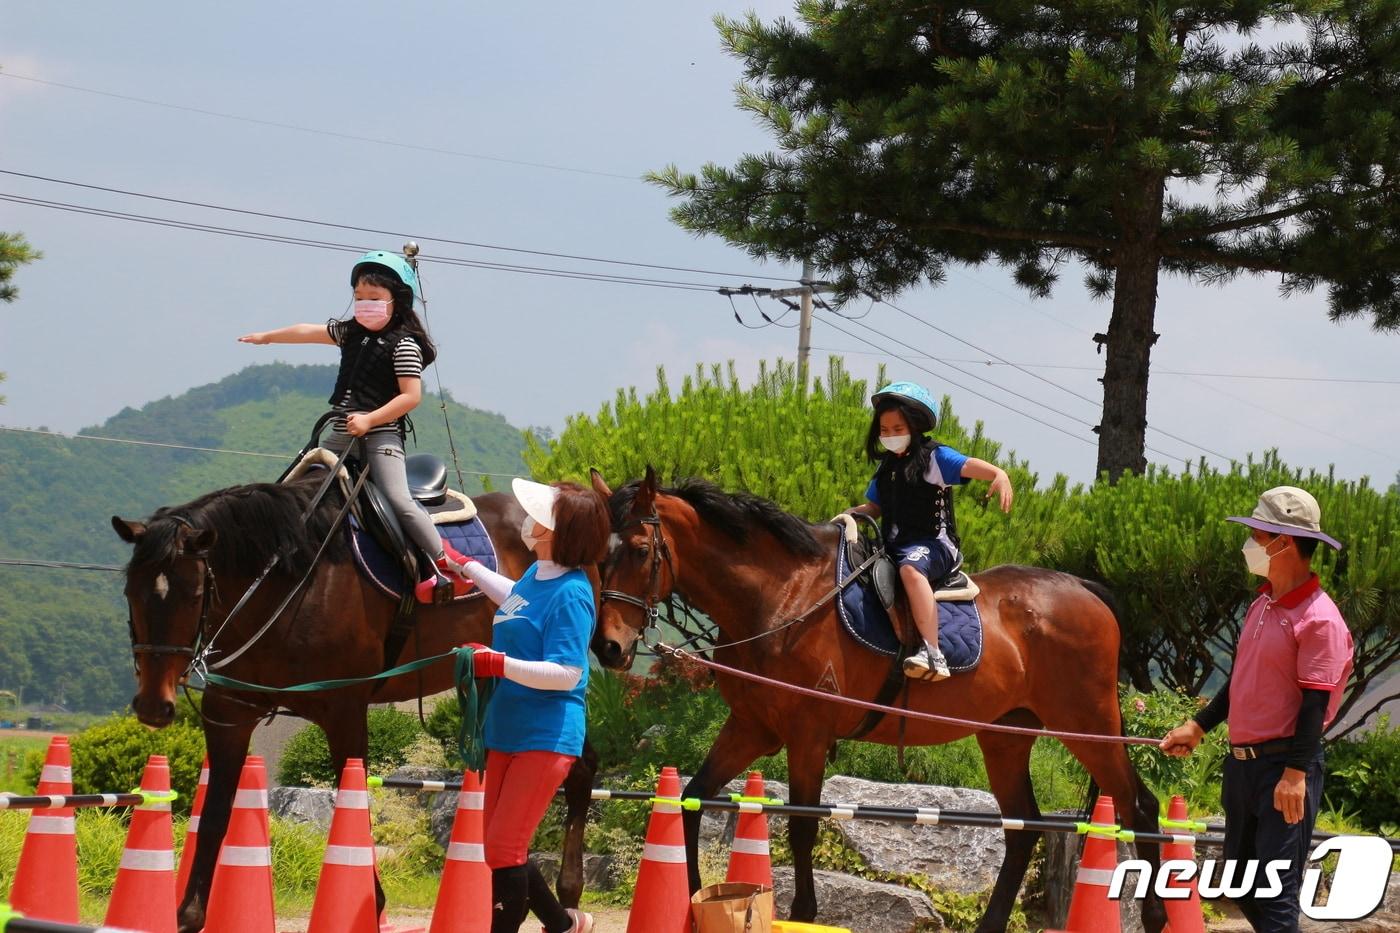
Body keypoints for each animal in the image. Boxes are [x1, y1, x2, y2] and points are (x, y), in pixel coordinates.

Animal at [113, 476, 596, 924]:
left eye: (194, 596)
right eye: (130, 592)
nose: (153, 705)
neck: (284, 588)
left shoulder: (344, 711)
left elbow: (355, 805)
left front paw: (372, 901)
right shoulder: (228, 713)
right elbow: (213, 815)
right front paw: (190, 914)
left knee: (576, 770)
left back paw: (569, 891)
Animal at [590, 465, 1170, 930]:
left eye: (640, 551)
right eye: (599, 555)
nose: (608, 647)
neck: (782, 597)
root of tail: (1085, 589)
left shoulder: (807, 735)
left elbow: (802, 825)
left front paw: (804, 914)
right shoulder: (752, 728)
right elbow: (691, 799)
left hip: (1087, 724)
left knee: (1140, 806)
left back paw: (1157, 916)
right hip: (1006, 737)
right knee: (1022, 829)